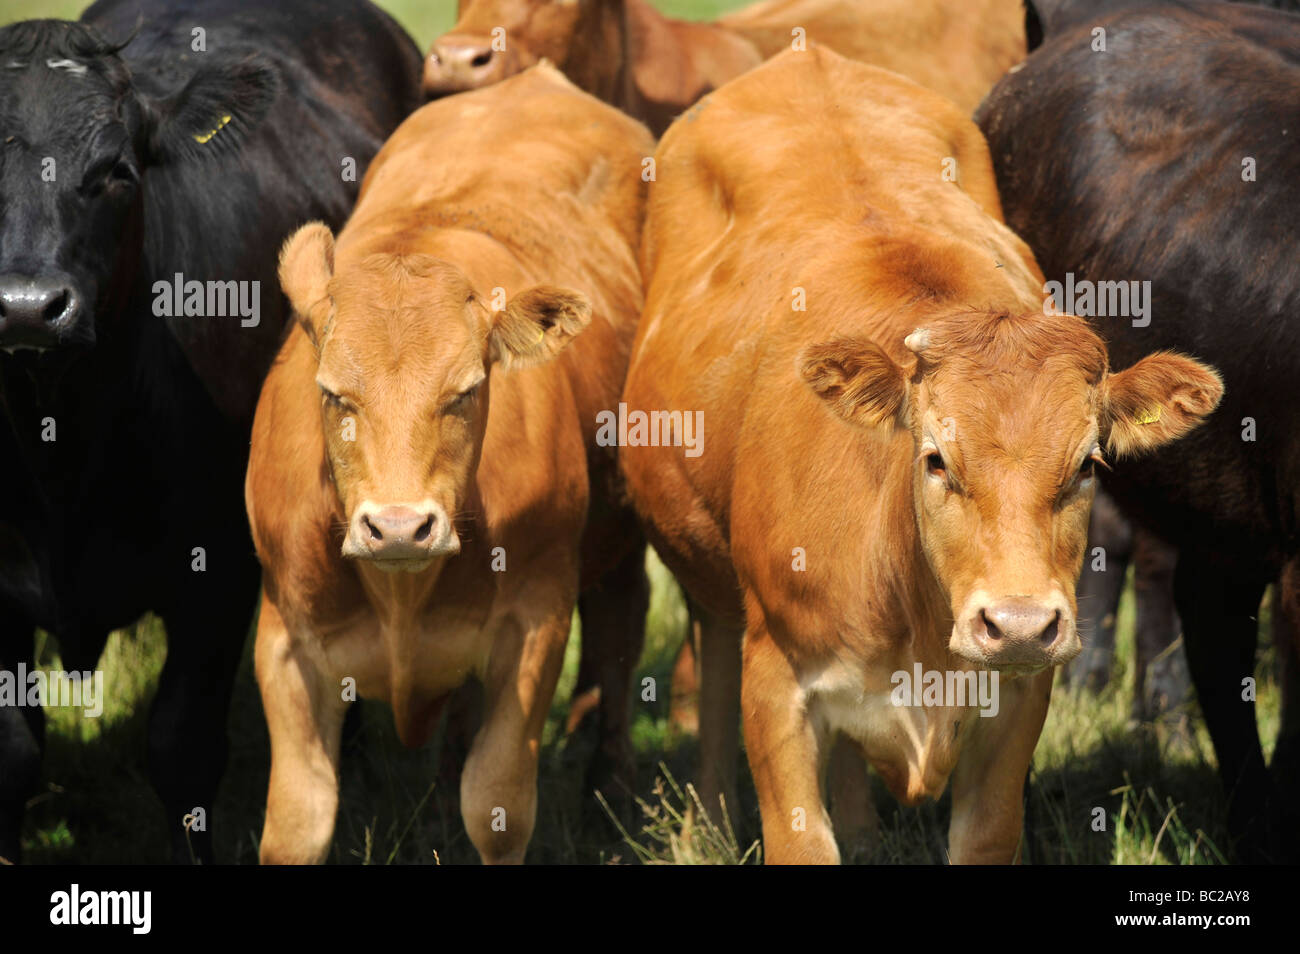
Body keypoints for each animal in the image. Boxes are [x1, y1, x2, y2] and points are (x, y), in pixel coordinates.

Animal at [246, 63, 653, 864]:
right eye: (333, 393)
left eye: (465, 392)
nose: (400, 528)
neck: (400, 593)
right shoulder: (283, 640)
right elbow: (299, 822)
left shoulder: (537, 618)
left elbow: (496, 802)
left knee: (622, 620)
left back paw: (611, 785)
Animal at [621, 45, 1221, 863]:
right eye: (936, 459)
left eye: (1086, 466)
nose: (1019, 622)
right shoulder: (777, 682)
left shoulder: (1019, 697)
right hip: (699, 562)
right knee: (710, 654)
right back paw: (706, 825)